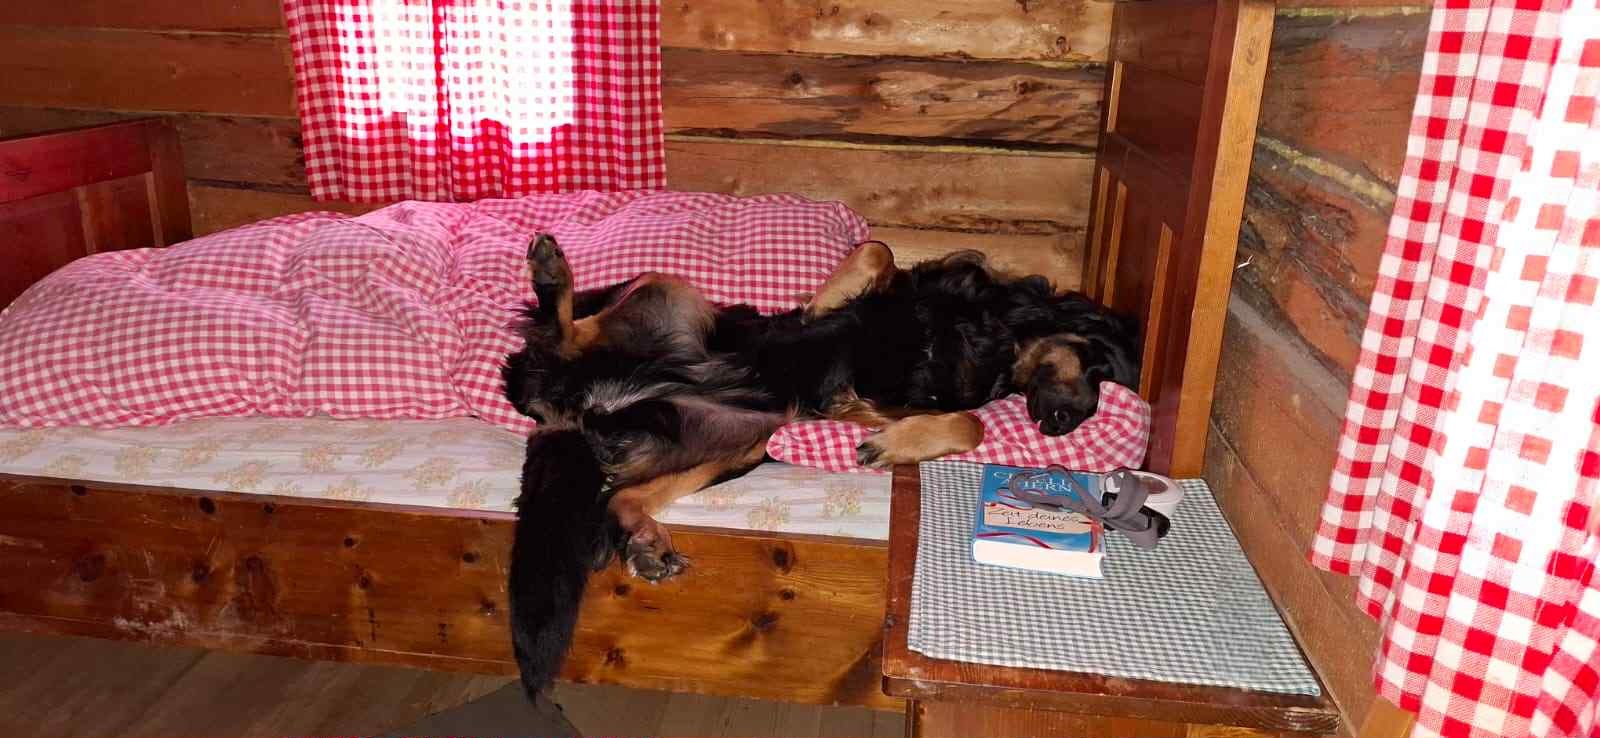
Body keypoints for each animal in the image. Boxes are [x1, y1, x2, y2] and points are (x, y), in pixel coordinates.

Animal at [502, 236, 1139, 697]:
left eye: (1106, 380)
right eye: (1099, 365)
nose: (1063, 424)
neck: (993, 333)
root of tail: (568, 405)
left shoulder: (906, 397)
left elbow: (969, 422)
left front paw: (892, 443)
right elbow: (875, 254)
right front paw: (822, 302)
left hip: (741, 439)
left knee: (621, 494)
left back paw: (645, 541)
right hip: (669, 295)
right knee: (568, 334)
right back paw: (553, 275)